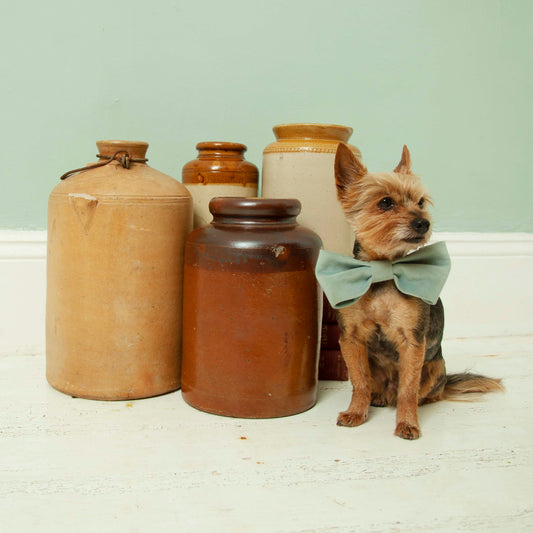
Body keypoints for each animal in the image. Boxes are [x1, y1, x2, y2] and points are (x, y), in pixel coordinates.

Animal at [330, 141, 500, 436]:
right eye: (385, 202)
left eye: (421, 203)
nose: (423, 223)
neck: (383, 271)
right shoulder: (351, 339)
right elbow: (359, 382)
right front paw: (356, 413)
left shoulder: (412, 342)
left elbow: (408, 389)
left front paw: (407, 423)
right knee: (376, 388)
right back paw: (377, 397)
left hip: (435, 366)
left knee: (423, 393)